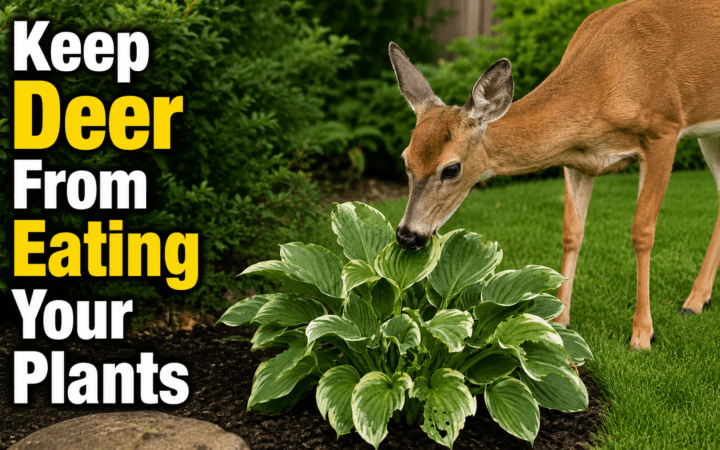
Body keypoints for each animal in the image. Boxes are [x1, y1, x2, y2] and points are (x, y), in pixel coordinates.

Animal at [388, 0, 720, 349]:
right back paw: (698, 300)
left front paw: (642, 334)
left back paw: (691, 301)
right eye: (405, 160)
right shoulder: (578, 160)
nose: (408, 235)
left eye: (452, 168)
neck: (603, 84)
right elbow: (571, 233)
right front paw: (560, 322)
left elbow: (642, 232)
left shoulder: (664, 131)